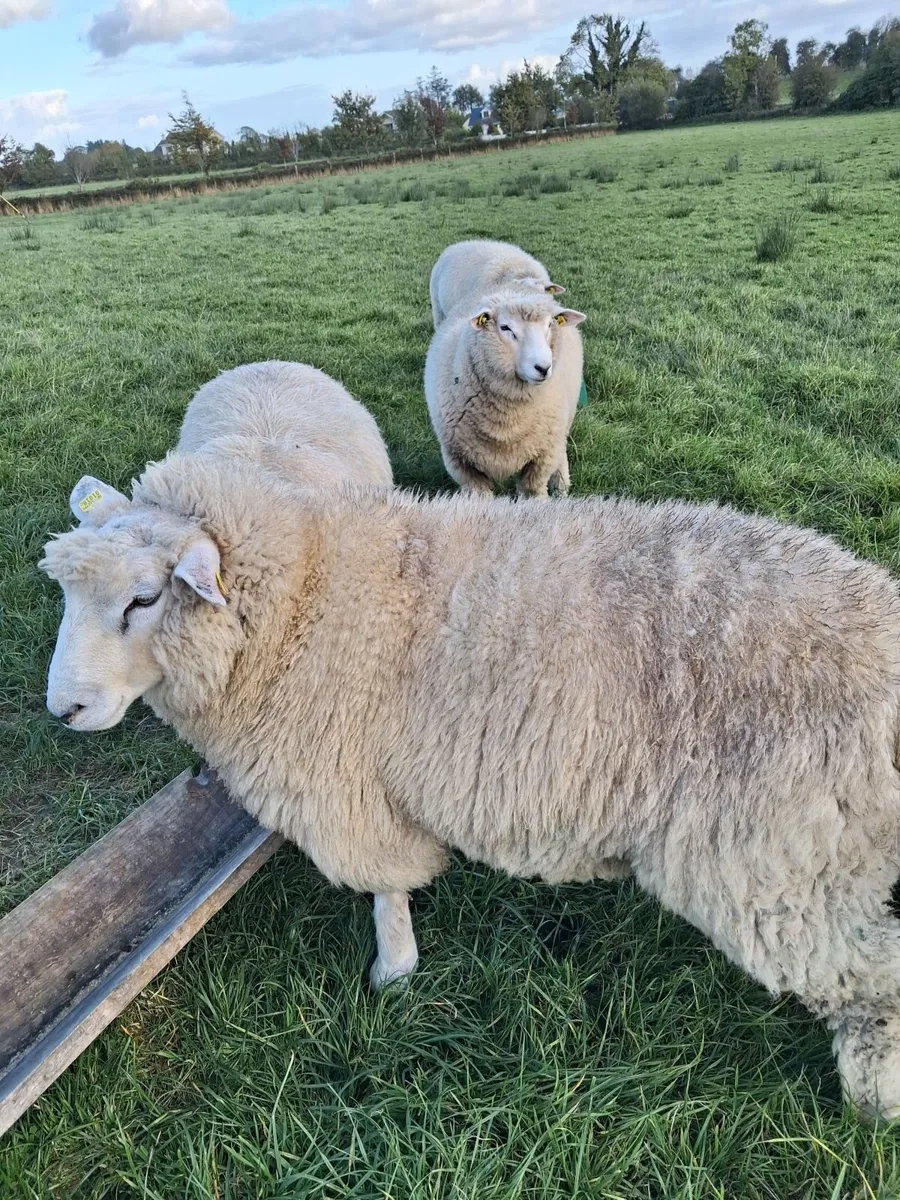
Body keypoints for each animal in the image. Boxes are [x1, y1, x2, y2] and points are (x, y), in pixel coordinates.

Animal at [41, 458, 900, 1122]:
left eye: (145, 597)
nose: (63, 710)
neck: (311, 596)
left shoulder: (348, 787)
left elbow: (385, 887)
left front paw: (393, 973)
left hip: (782, 862)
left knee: (871, 973)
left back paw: (873, 1100)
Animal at [425, 289, 586, 498]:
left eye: (550, 325)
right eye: (505, 327)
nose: (543, 368)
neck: (508, 421)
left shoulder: (541, 458)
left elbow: (533, 492)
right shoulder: (462, 464)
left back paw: (561, 486)